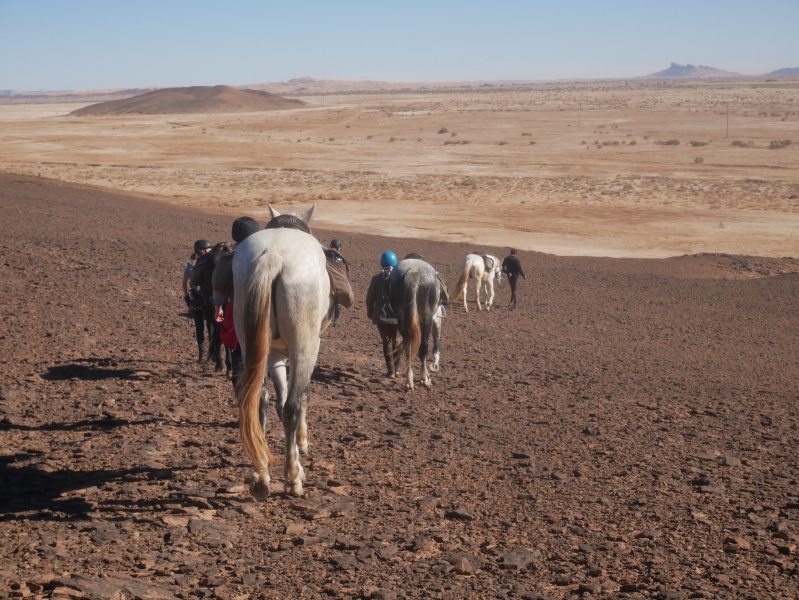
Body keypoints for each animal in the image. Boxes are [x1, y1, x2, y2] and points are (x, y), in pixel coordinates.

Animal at [231, 204, 332, 500]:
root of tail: (274, 255)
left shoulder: (274, 355)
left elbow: (276, 400)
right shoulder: (308, 350)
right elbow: (300, 397)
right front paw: (301, 449)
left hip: (250, 344)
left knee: (257, 399)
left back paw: (261, 472)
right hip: (304, 346)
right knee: (292, 407)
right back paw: (292, 480)